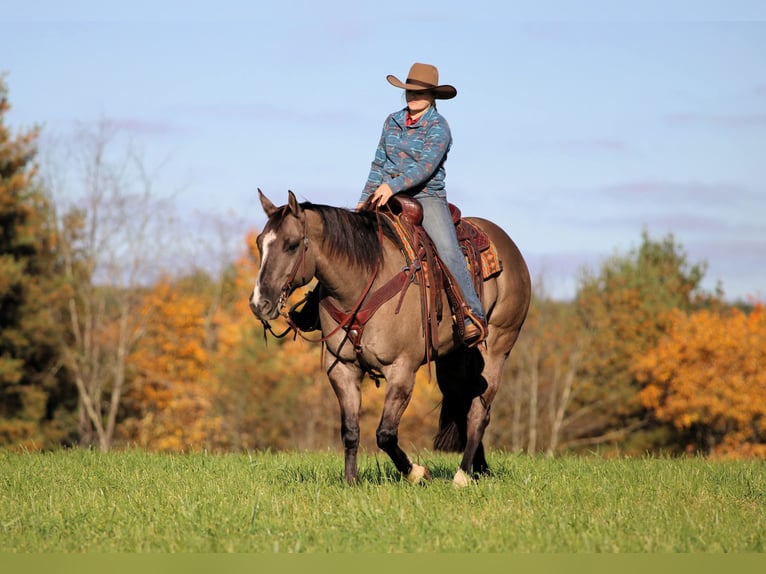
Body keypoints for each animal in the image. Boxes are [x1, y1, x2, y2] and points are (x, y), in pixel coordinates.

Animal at [249, 190, 531, 486]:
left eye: (292, 245)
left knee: (479, 412)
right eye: (259, 243)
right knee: (464, 401)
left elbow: (385, 434)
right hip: (454, 361)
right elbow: (350, 430)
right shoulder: (342, 368)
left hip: (497, 347)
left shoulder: (401, 370)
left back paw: (463, 475)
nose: (259, 303)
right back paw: (480, 469)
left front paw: (417, 473)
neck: (362, 284)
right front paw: (351, 481)